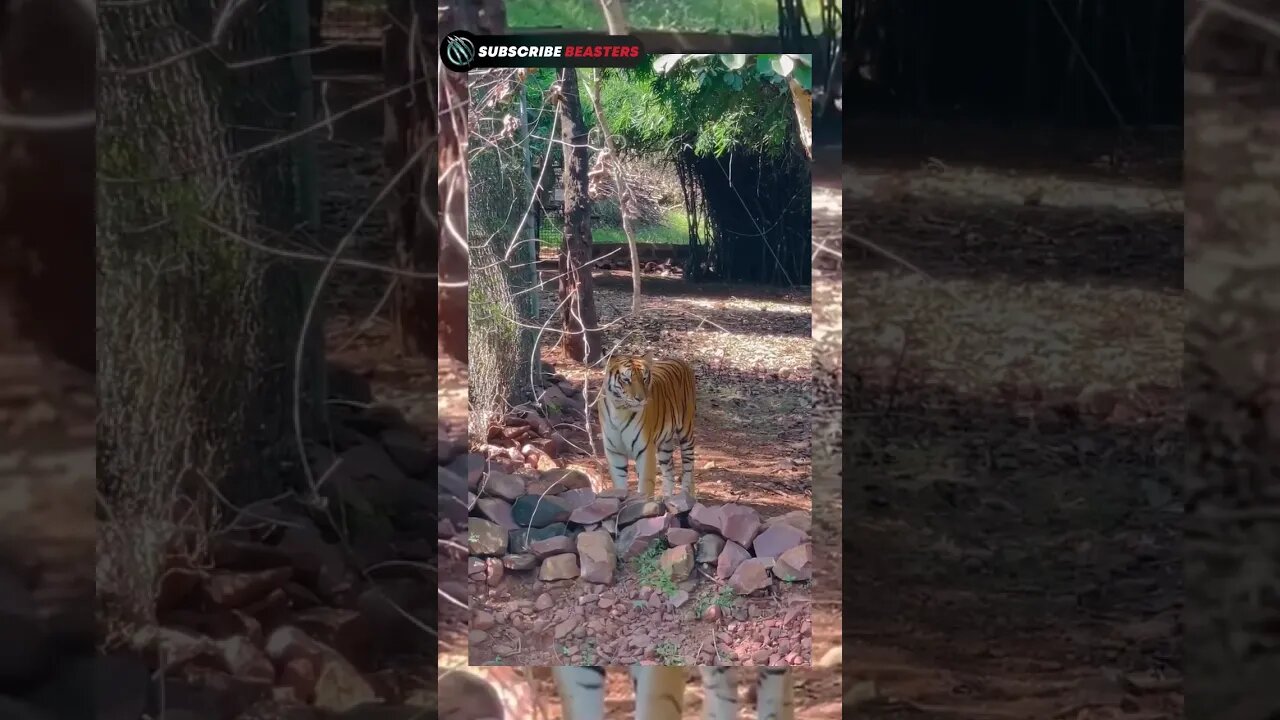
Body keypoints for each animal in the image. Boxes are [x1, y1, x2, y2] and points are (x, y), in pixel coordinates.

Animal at [599, 353, 697, 499]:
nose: (641, 399)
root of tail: (680, 359)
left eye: (644, 378)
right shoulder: (614, 452)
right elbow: (619, 485)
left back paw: (686, 496)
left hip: (686, 432)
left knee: (689, 468)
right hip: (664, 445)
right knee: (670, 472)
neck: (619, 410)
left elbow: (645, 487)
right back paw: (667, 498)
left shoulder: (645, 451)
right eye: (626, 379)